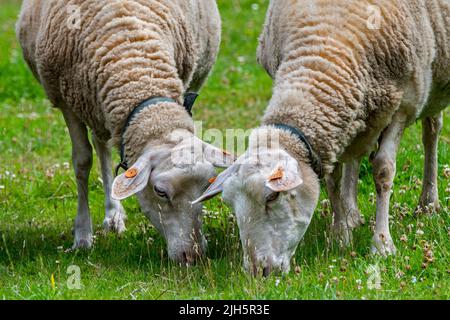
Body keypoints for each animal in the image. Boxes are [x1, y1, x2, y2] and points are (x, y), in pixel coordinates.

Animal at [16, 0, 234, 262]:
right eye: (160, 192)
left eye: (205, 187)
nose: (193, 255)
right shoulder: (66, 99)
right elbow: (82, 162)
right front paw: (82, 236)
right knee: (99, 147)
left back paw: (113, 214)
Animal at [196, 0, 450, 276]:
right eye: (230, 204)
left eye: (272, 197)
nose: (258, 271)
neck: (323, 54)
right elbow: (332, 179)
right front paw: (340, 235)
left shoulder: (403, 106)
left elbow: (383, 171)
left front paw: (382, 244)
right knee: (354, 155)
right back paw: (352, 213)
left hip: (433, 88)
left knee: (431, 132)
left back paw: (428, 202)